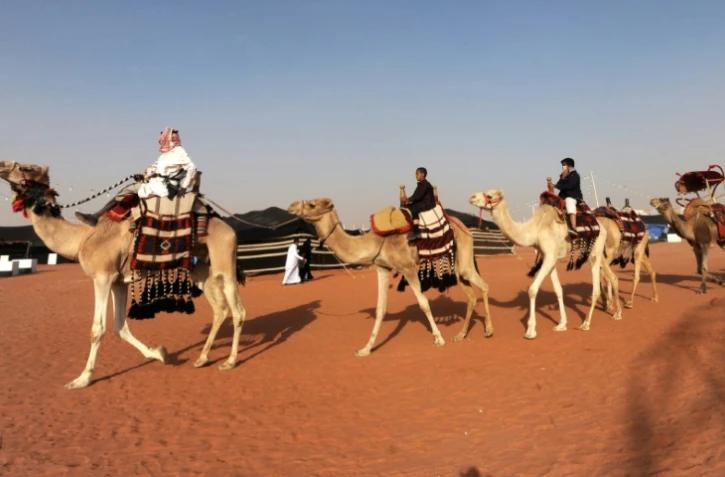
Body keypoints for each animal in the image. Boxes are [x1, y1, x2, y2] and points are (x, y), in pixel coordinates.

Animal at [0, 160, 247, 389]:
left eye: (25, 168)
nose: (2, 164)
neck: (81, 238)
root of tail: (229, 228)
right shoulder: (119, 281)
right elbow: (120, 326)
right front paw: (160, 353)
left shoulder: (102, 276)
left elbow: (97, 329)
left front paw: (82, 379)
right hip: (202, 270)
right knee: (220, 309)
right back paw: (202, 358)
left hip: (224, 260)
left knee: (238, 310)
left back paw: (230, 361)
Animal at [287, 198, 493, 355]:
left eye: (312, 204)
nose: (292, 206)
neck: (374, 241)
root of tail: (464, 226)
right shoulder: (382, 268)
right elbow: (381, 309)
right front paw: (365, 349)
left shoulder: (407, 267)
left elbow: (424, 303)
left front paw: (439, 339)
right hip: (458, 264)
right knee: (471, 296)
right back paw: (461, 335)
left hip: (463, 252)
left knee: (483, 286)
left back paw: (489, 330)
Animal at [469, 189, 622, 339]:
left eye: (490, 196)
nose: (472, 197)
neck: (535, 228)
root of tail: (602, 226)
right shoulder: (549, 257)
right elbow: (558, 290)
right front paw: (562, 324)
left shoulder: (549, 256)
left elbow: (532, 289)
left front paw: (530, 330)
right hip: (599, 250)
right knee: (612, 276)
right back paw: (618, 313)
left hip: (595, 249)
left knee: (596, 286)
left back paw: (586, 323)